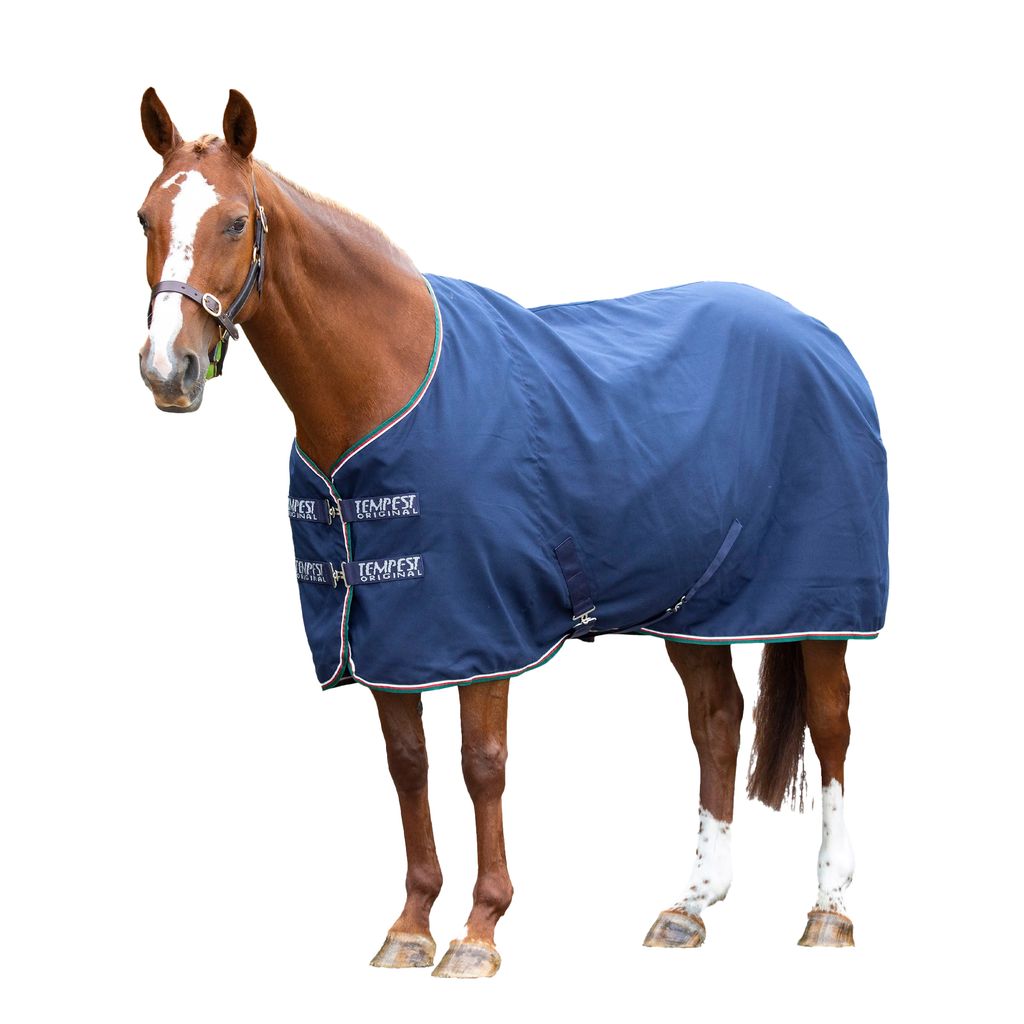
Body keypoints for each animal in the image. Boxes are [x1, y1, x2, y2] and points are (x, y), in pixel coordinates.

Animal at [136, 88, 888, 978]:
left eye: (235, 222)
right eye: (144, 217)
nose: (168, 370)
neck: (385, 385)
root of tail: (822, 339)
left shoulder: (481, 628)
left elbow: (481, 766)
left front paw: (478, 930)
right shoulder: (389, 634)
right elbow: (409, 767)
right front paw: (411, 924)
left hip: (819, 605)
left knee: (832, 725)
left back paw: (829, 911)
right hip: (693, 607)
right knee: (717, 720)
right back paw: (690, 906)